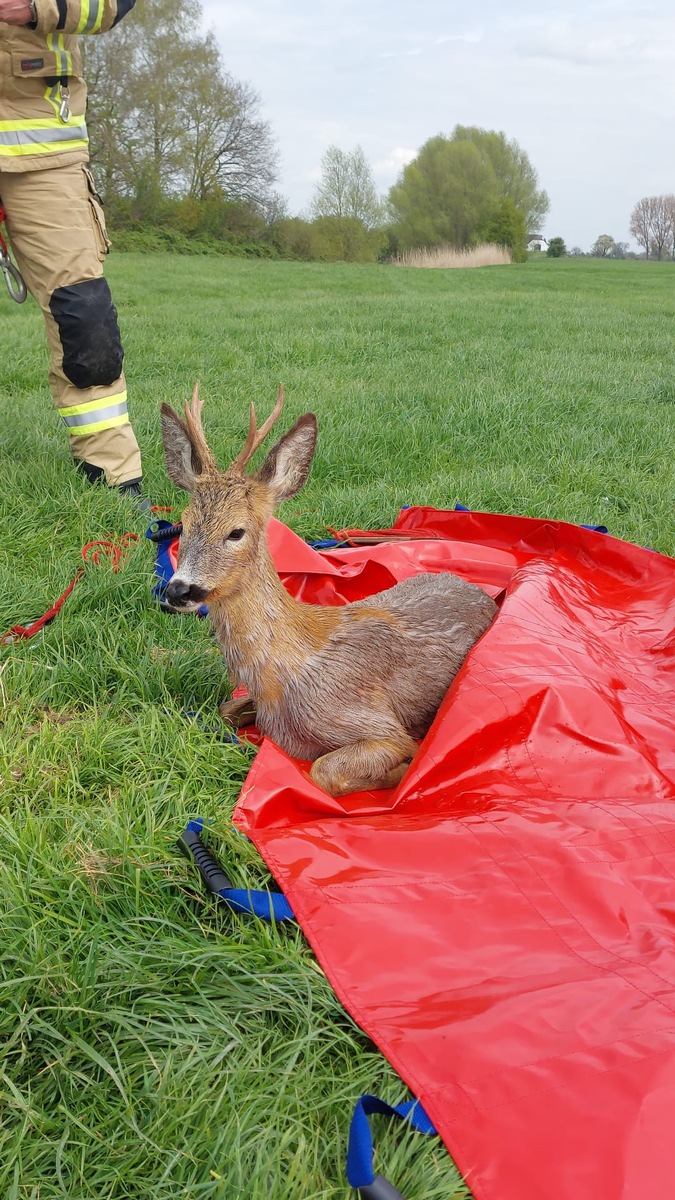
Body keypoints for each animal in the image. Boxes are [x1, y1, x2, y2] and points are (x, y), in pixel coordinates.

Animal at [159, 384, 497, 796]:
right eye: (183, 523)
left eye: (236, 531)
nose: (178, 591)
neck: (281, 676)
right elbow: (225, 710)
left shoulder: (375, 723)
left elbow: (325, 770)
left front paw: (405, 768)